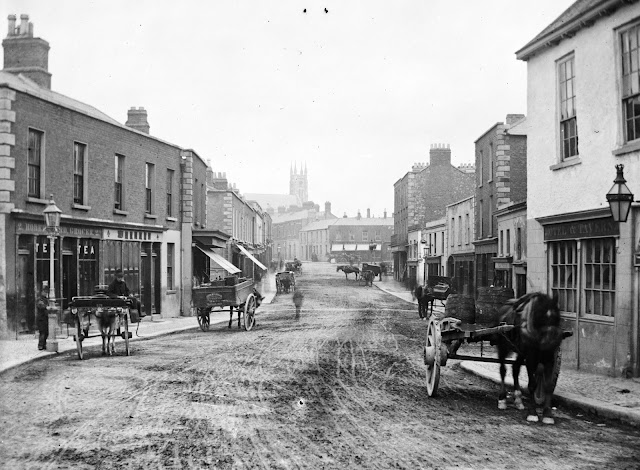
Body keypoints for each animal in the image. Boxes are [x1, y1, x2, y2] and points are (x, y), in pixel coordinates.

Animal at [492, 292, 568, 424]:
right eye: (540, 317)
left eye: (557, 317)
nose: (551, 342)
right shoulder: (531, 358)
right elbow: (532, 384)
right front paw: (532, 413)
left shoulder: (549, 358)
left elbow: (548, 385)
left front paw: (548, 414)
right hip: (502, 346)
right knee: (503, 370)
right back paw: (502, 398)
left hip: (521, 352)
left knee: (515, 369)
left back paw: (518, 399)